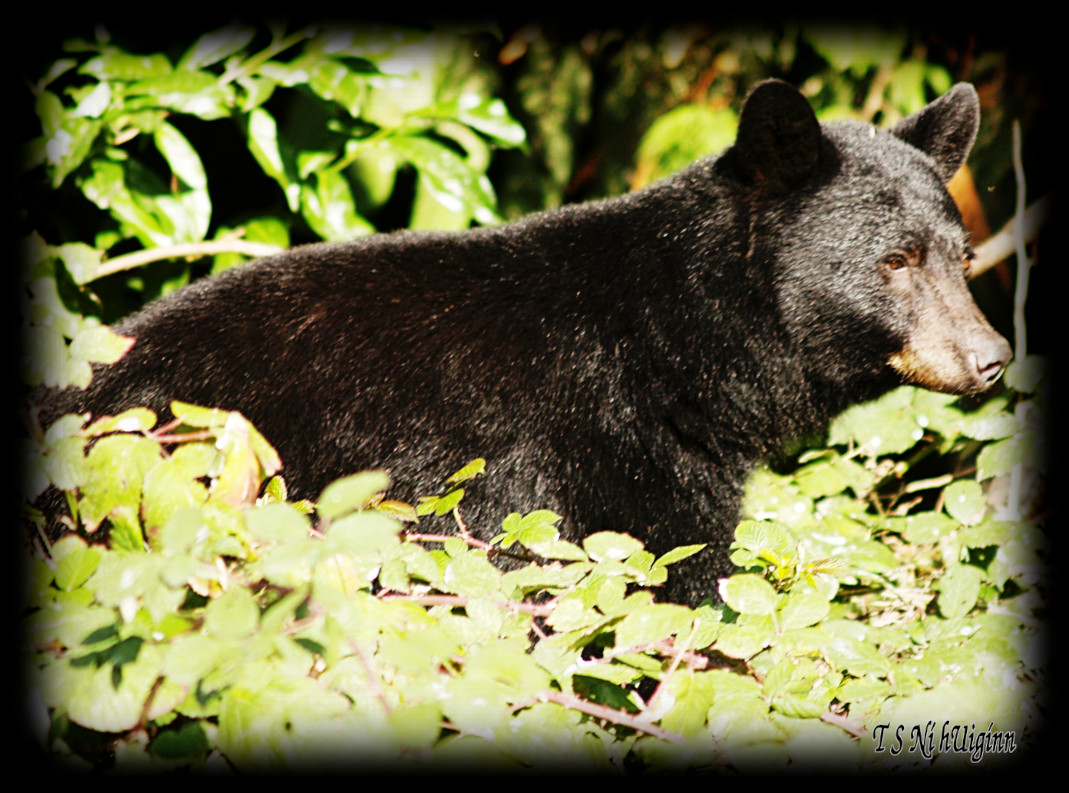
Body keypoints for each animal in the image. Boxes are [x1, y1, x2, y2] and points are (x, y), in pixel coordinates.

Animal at [36, 80, 1011, 606]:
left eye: (959, 255)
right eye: (894, 260)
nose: (989, 354)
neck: (676, 346)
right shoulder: (593, 452)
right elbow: (660, 577)